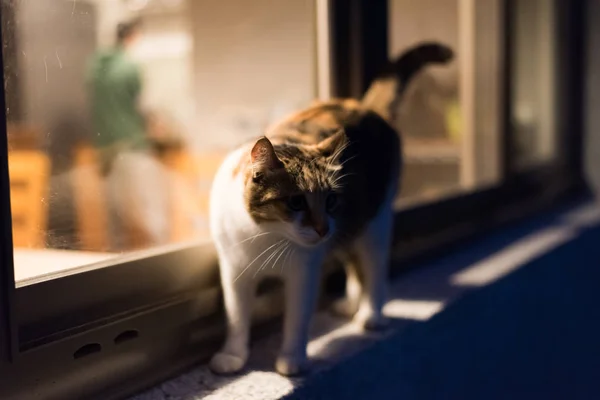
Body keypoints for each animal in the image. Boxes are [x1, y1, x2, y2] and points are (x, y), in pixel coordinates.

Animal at [209, 42, 452, 376]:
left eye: (331, 201)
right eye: (296, 202)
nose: (323, 228)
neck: (264, 235)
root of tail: (365, 107)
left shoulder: (304, 272)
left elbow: (296, 320)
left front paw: (293, 360)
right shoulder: (235, 272)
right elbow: (236, 318)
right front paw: (232, 356)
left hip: (373, 223)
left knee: (374, 269)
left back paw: (371, 315)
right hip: (350, 228)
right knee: (353, 263)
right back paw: (350, 304)